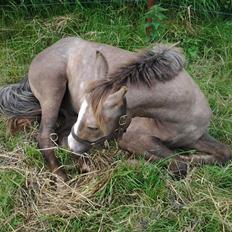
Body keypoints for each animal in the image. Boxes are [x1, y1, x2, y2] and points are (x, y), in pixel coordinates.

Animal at [0, 37, 230, 180]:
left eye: (93, 126)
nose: (75, 146)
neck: (181, 115)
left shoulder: (196, 137)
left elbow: (225, 153)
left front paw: (195, 158)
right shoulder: (131, 138)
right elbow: (177, 163)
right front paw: (132, 164)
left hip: (66, 112)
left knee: (61, 135)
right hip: (53, 91)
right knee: (46, 137)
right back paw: (62, 176)